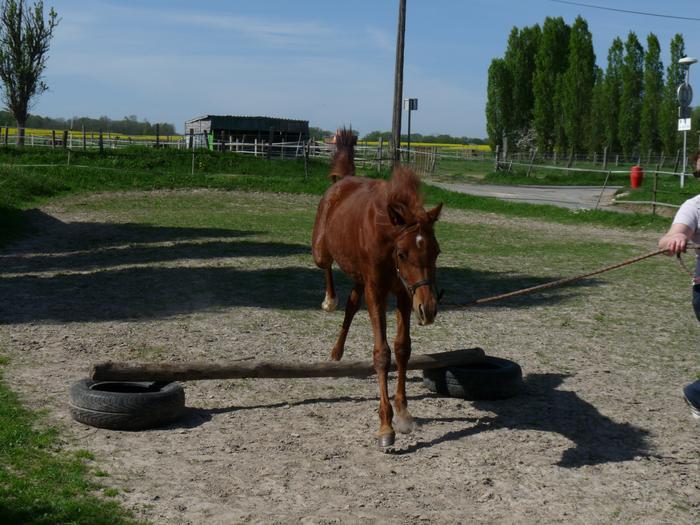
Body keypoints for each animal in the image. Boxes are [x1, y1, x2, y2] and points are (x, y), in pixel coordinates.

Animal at [314, 129, 442, 444]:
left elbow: (402, 348)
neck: (386, 238)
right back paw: (329, 300)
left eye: (436, 251)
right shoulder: (377, 292)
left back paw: (337, 352)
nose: (429, 309)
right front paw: (386, 426)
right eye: (403, 253)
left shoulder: (405, 294)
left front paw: (404, 413)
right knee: (326, 267)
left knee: (350, 304)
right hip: (321, 251)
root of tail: (344, 181)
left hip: (360, 279)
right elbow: (382, 353)